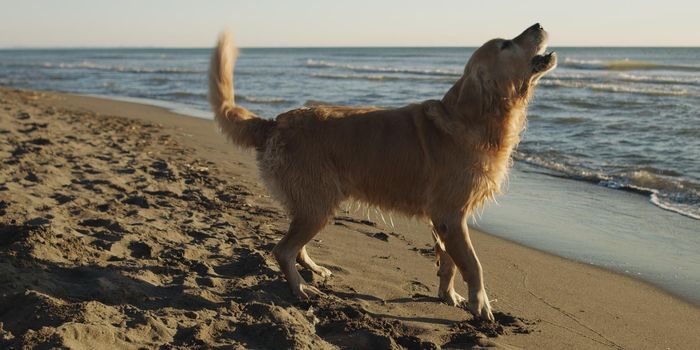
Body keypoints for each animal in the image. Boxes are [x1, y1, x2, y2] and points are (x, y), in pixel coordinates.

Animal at [205, 23, 556, 322]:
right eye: (506, 44)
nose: (538, 24)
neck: (475, 117)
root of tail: (274, 122)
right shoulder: (451, 215)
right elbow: (472, 264)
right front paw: (480, 306)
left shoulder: (442, 219)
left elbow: (449, 262)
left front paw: (449, 295)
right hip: (318, 205)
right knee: (282, 250)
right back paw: (300, 288)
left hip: (310, 204)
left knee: (294, 246)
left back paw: (315, 270)